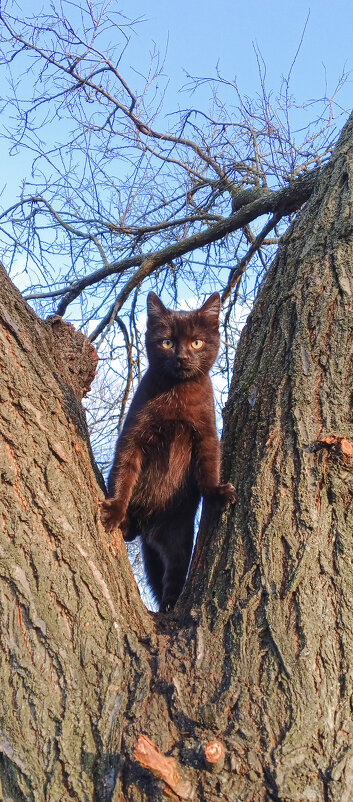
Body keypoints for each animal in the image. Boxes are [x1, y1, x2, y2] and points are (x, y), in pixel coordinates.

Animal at [99, 290, 235, 608]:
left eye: (196, 342)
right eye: (167, 343)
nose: (182, 357)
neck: (177, 396)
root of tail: (148, 527)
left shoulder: (206, 433)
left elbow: (209, 467)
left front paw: (218, 493)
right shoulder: (133, 435)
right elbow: (124, 469)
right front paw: (115, 510)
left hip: (177, 534)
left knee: (172, 573)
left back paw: (171, 605)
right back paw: (127, 525)